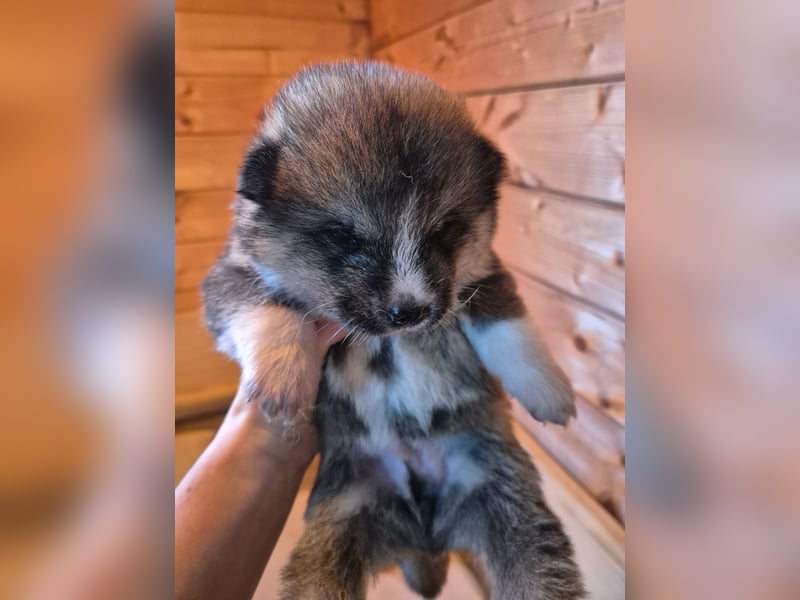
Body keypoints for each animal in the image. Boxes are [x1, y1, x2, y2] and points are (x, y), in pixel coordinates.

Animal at [203, 63, 584, 596]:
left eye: (444, 229)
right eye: (344, 236)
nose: (411, 310)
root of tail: (427, 534)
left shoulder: (482, 276)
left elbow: (510, 327)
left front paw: (547, 390)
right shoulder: (230, 276)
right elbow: (267, 311)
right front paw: (284, 380)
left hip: (508, 501)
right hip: (339, 522)